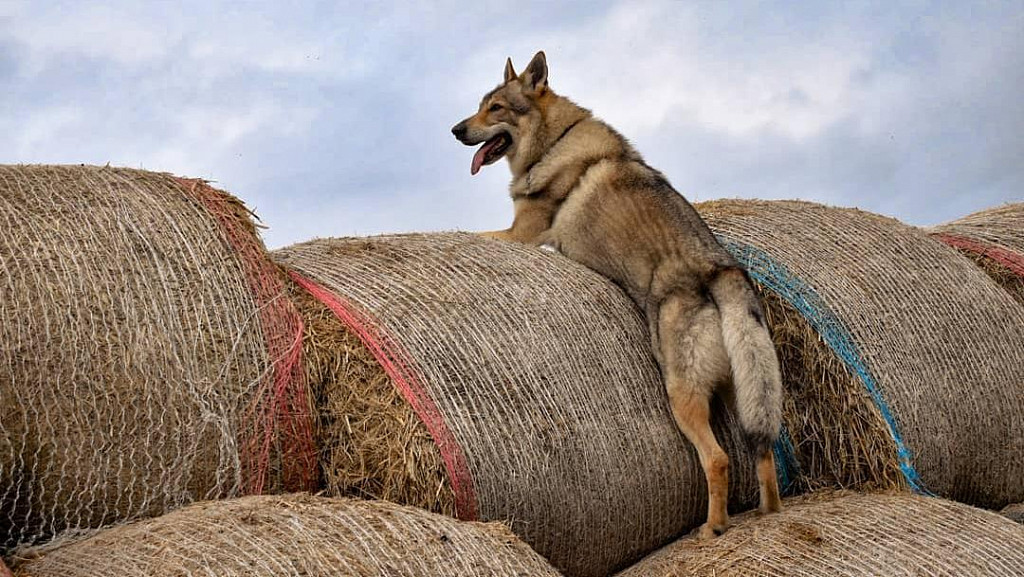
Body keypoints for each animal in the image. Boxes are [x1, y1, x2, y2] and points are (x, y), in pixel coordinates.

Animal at [450, 49, 782, 537]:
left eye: (496, 108)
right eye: (479, 105)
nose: (455, 130)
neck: (554, 142)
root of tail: (722, 272)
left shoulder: (521, 234)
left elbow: (462, 230)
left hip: (682, 395)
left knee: (717, 459)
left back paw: (714, 529)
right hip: (748, 397)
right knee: (764, 453)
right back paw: (767, 515)